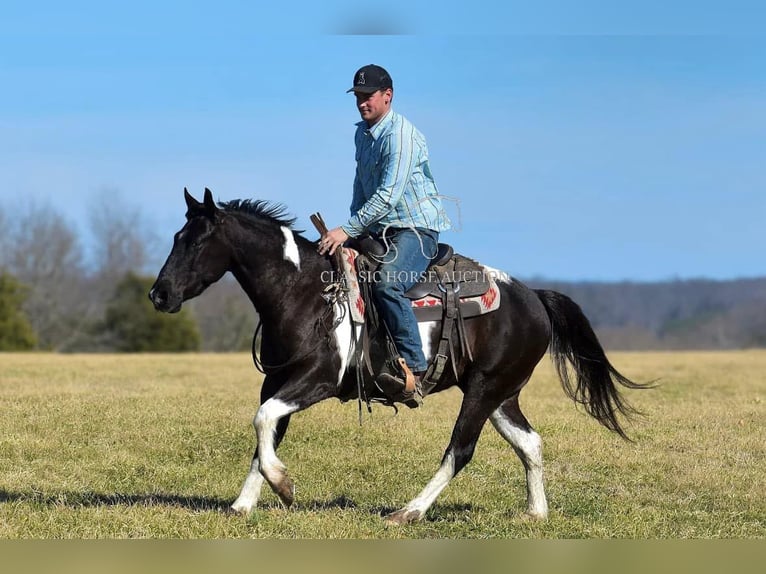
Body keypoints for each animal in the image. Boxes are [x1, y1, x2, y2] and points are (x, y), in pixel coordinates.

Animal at [148, 190, 648, 528]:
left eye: (196, 242)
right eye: (176, 236)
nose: (159, 294)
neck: (304, 291)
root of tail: (535, 299)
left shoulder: (317, 380)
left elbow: (263, 420)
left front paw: (284, 487)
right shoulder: (277, 382)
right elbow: (265, 431)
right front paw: (244, 504)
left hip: (484, 390)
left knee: (460, 450)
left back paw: (409, 512)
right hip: (500, 395)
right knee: (530, 443)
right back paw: (535, 514)